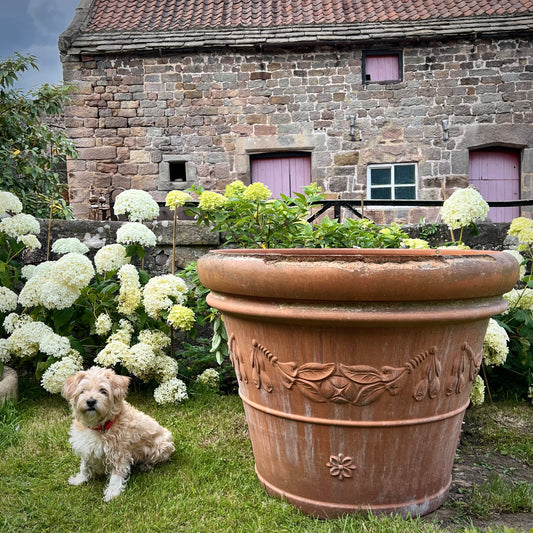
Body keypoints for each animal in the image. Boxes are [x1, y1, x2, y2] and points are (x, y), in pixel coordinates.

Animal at [62, 366, 175, 498]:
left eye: (103, 391)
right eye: (83, 391)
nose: (90, 401)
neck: (99, 426)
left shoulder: (119, 453)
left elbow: (116, 475)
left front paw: (112, 492)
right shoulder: (86, 447)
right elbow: (84, 466)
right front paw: (80, 479)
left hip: (161, 446)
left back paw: (145, 466)